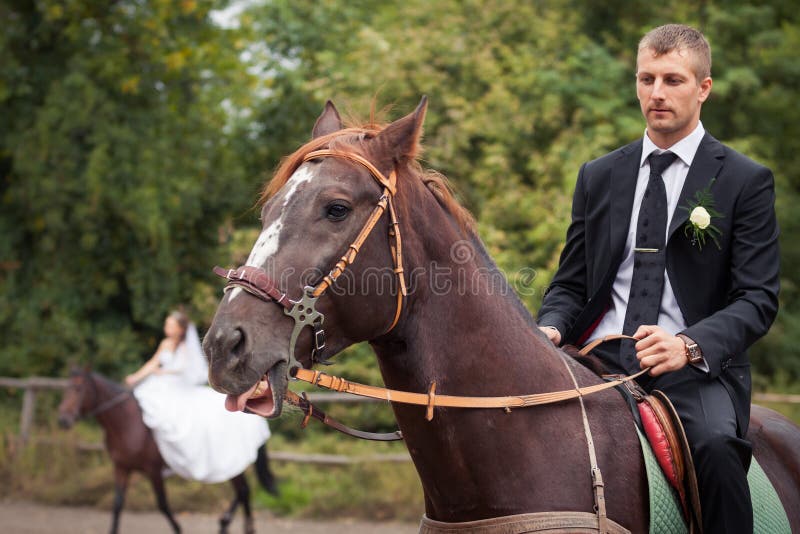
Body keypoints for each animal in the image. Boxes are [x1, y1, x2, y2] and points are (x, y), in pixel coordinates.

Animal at [57, 369, 278, 534]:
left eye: (78, 389)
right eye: (65, 389)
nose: (63, 420)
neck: (128, 423)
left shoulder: (153, 470)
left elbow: (162, 504)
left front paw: (178, 529)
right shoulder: (121, 467)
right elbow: (118, 503)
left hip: (231, 462)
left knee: (243, 491)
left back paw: (237, 525)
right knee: (243, 491)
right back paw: (228, 524)